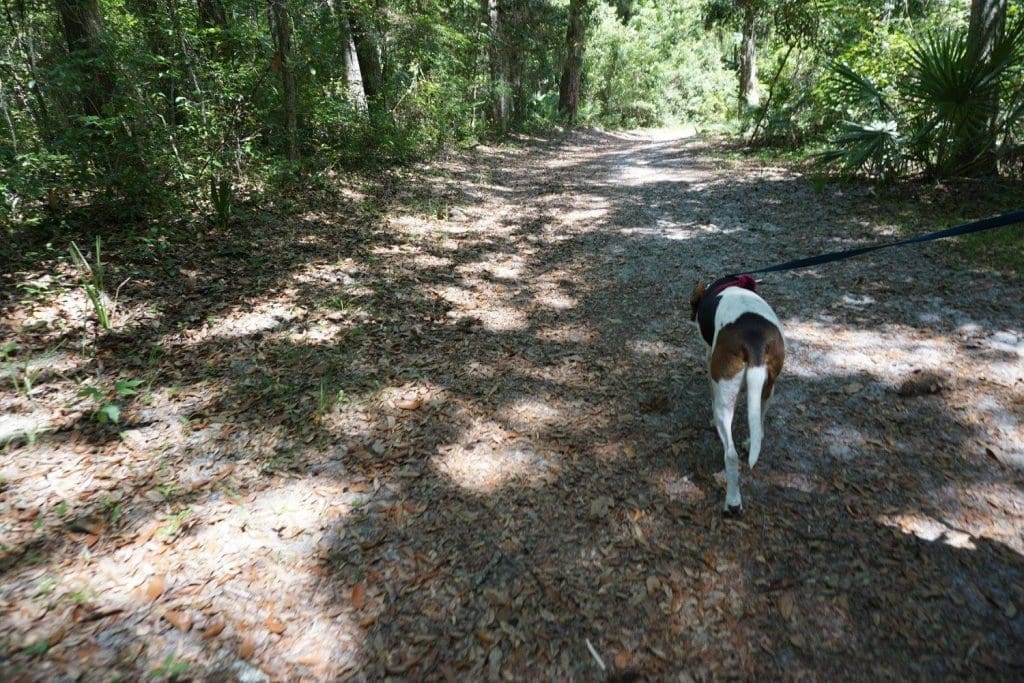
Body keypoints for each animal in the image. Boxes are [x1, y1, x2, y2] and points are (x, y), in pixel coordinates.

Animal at [692, 274, 786, 516]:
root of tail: (754, 343)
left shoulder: (709, 359)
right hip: (769, 388)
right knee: (759, 426)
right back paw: (751, 441)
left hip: (724, 402)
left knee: (731, 455)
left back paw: (732, 502)